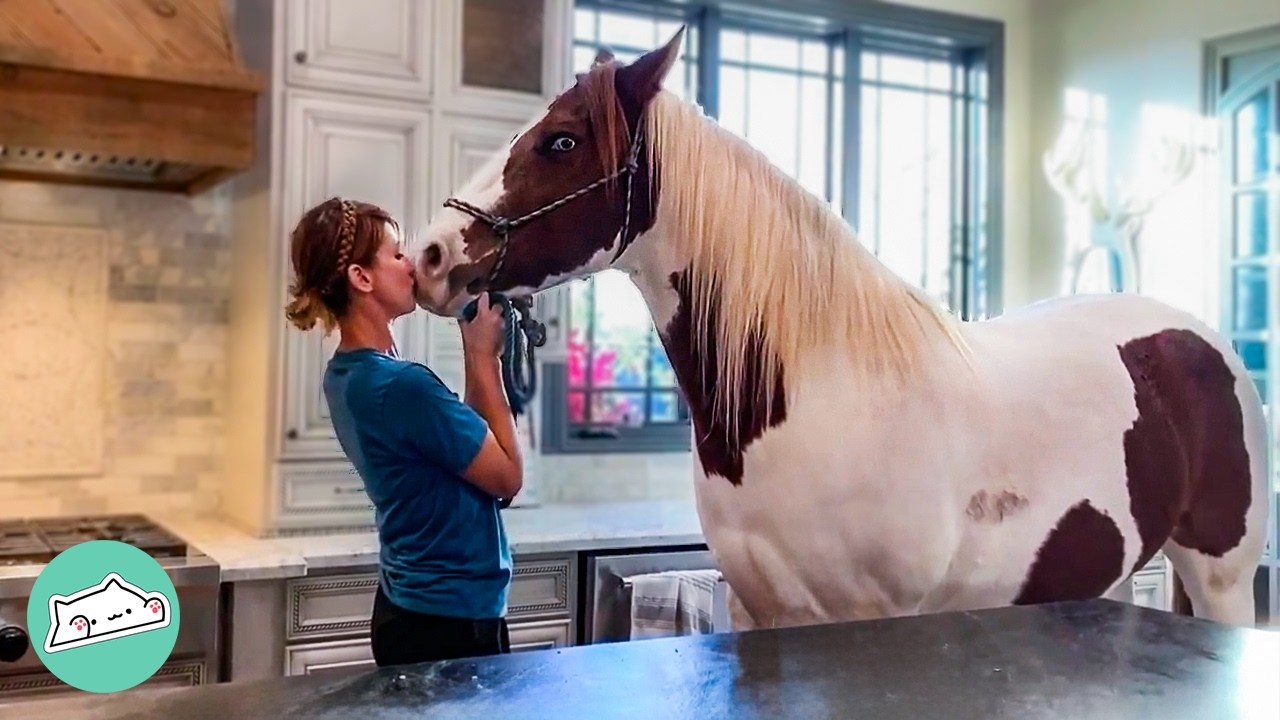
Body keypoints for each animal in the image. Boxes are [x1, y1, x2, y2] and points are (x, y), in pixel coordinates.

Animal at [412, 28, 1269, 631]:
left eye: (561, 141)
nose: (429, 254)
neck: (813, 392)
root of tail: (1195, 337)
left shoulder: (870, 617)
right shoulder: (757, 612)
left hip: (1222, 580)